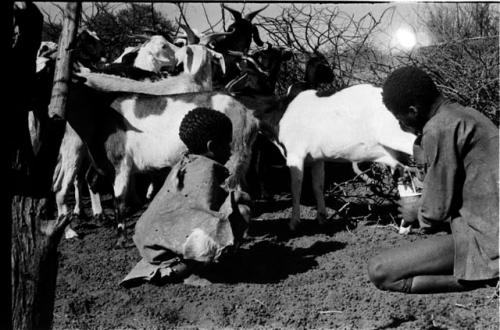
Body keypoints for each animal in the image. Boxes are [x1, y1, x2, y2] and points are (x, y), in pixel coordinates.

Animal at [280, 84, 416, 231]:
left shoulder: (295, 154)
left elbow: (296, 187)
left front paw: (293, 223)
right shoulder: (317, 159)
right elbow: (317, 185)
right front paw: (322, 219)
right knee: (406, 178)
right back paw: (405, 227)